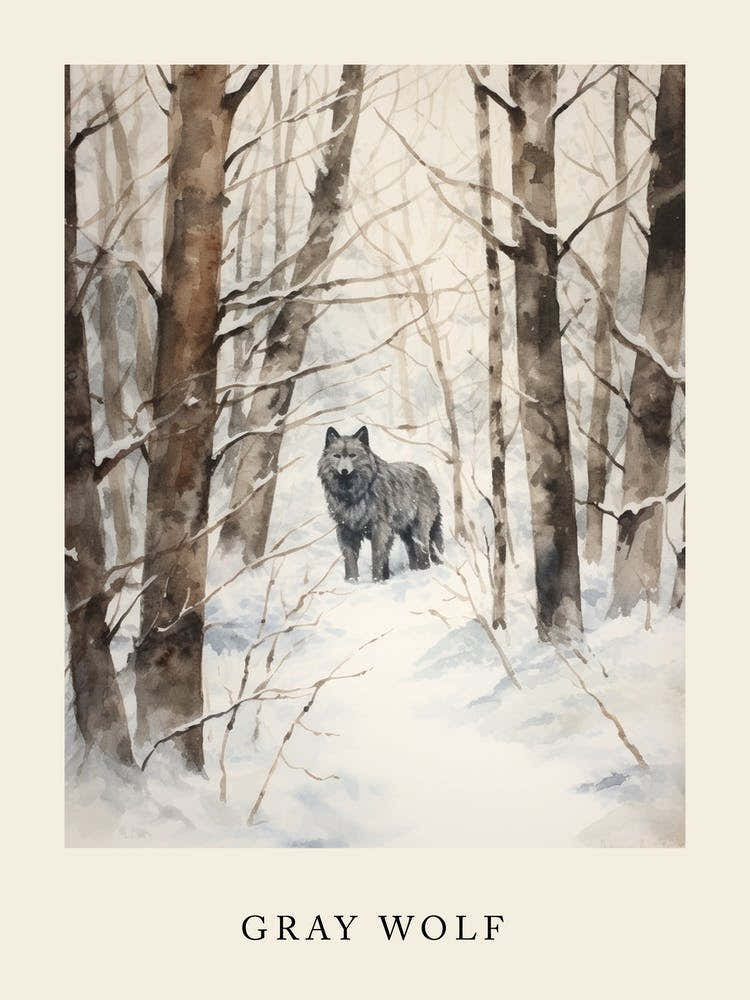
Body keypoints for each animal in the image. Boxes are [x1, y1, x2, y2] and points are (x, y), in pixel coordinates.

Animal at [318, 425, 444, 582]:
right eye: (337, 456)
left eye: (352, 455)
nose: (344, 471)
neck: (353, 495)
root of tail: (425, 474)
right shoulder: (346, 530)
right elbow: (350, 560)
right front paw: (352, 582)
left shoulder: (380, 529)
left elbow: (377, 557)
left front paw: (377, 581)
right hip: (405, 534)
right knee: (412, 554)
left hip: (418, 530)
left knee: (424, 552)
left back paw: (423, 572)